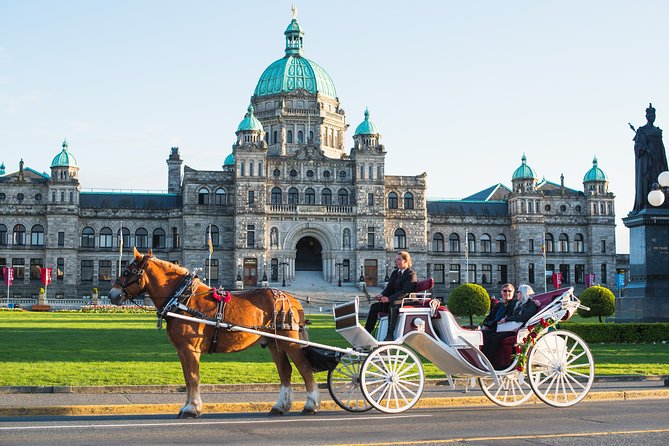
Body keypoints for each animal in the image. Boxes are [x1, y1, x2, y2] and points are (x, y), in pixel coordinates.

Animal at [107, 247, 320, 418]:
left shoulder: (190, 348)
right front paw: (186, 407)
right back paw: (280, 406)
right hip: (274, 343)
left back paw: (310, 405)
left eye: (127, 271)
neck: (181, 298)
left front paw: (192, 409)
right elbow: (187, 378)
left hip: (291, 342)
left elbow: (193, 377)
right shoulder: (181, 350)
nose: (111, 295)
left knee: (304, 368)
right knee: (285, 371)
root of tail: (292, 299)